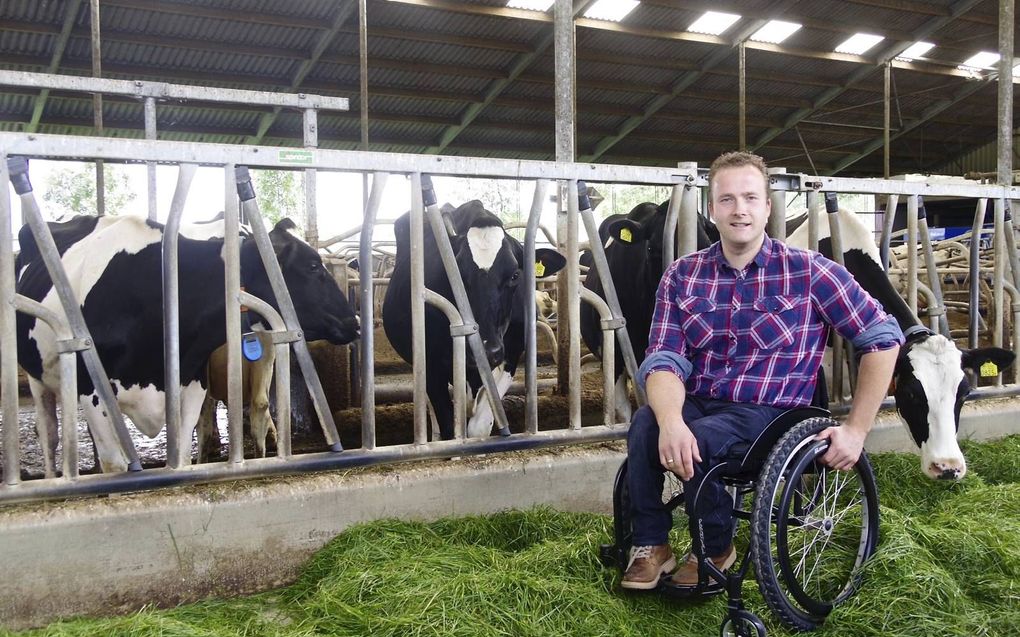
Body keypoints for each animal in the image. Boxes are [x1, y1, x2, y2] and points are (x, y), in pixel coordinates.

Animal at [13, 214, 361, 472]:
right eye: (312, 266)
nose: (355, 322)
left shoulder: (191, 383)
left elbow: (182, 454)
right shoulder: (92, 390)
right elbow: (115, 464)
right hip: (38, 377)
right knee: (48, 433)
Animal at [383, 200, 567, 440]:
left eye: (515, 275)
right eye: (457, 275)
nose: (487, 349)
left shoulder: (510, 356)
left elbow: (479, 426)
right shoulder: (431, 365)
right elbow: (448, 425)